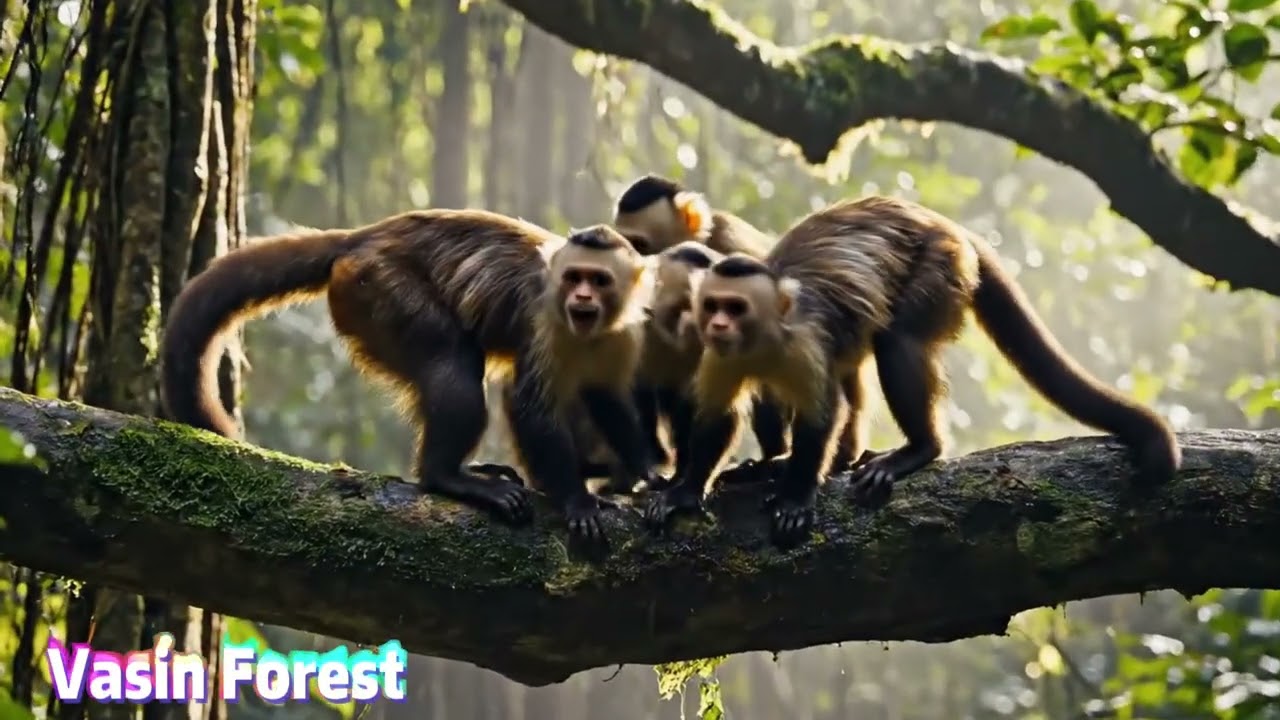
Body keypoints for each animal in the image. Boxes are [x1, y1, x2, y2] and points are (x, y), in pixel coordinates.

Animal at [161, 210, 663, 548]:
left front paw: (648, 475)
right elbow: (531, 408)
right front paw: (576, 500)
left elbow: (608, 399)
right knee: (453, 361)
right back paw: (447, 478)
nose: (581, 297)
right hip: (377, 286)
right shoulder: (544, 317)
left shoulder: (624, 332)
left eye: (598, 280)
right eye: (575, 277)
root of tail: (365, 235)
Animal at [643, 195, 1182, 548]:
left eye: (734, 308)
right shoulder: (720, 354)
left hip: (941, 264)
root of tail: (943, 223)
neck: (763, 338)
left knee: (896, 341)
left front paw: (796, 494)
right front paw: (685, 492)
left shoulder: (803, 341)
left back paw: (919, 449)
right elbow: (718, 416)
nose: (715, 324)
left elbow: (821, 414)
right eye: (713, 306)